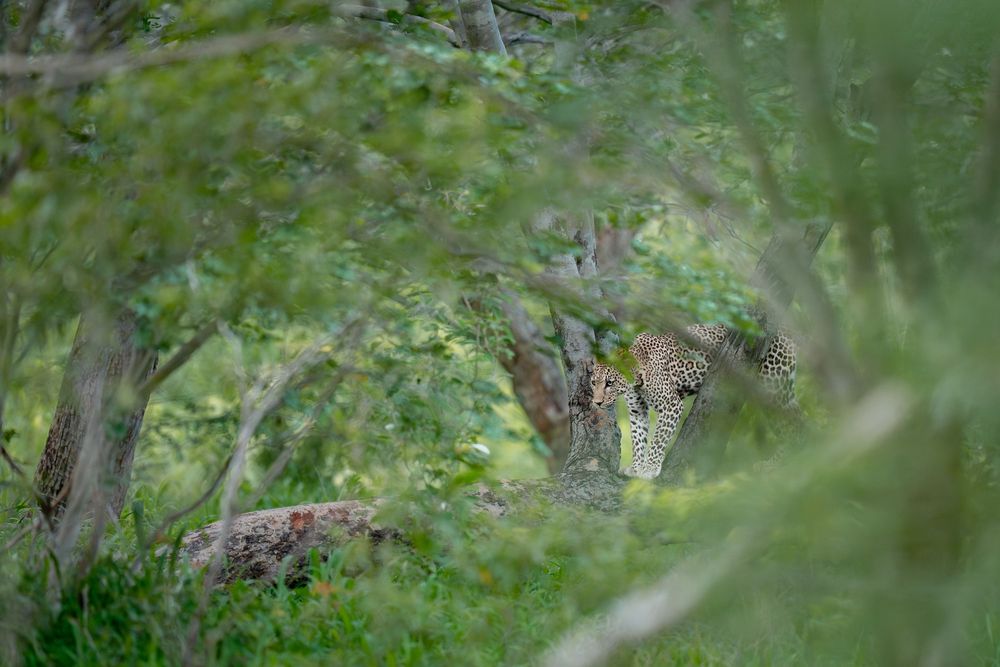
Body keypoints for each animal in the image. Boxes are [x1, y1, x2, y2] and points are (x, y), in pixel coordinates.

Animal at [589, 324, 797, 480]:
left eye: (610, 383)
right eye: (593, 382)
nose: (597, 403)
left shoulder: (671, 404)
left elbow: (658, 439)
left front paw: (650, 469)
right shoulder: (637, 411)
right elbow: (638, 440)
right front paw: (635, 468)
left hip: (772, 384)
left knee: (793, 425)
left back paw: (779, 463)